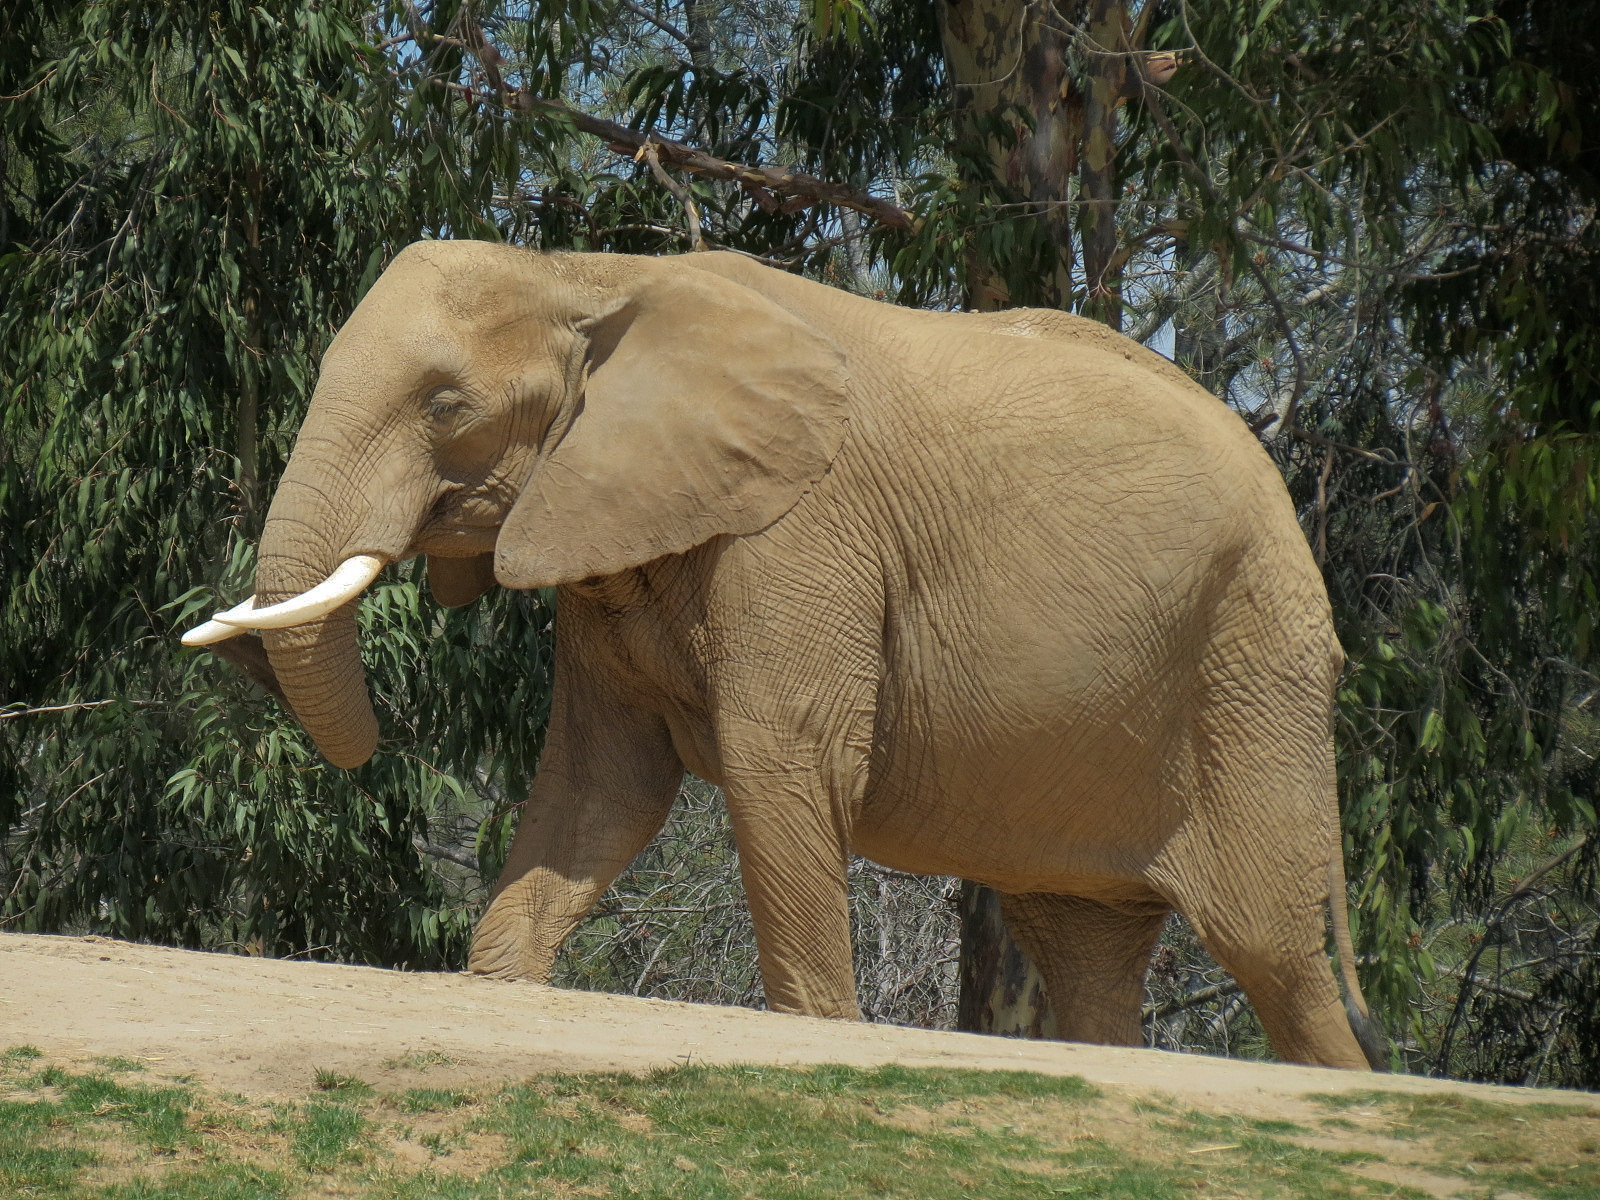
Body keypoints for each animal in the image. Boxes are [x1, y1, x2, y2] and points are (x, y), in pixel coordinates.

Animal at [184, 239, 1383, 1069]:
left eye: (445, 404)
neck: (592, 272)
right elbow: (600, 787)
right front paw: (499, 981)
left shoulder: (804, 531)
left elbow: (785, 761)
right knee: (1088, 954)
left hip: (1251, 669)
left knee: (1278, 956)